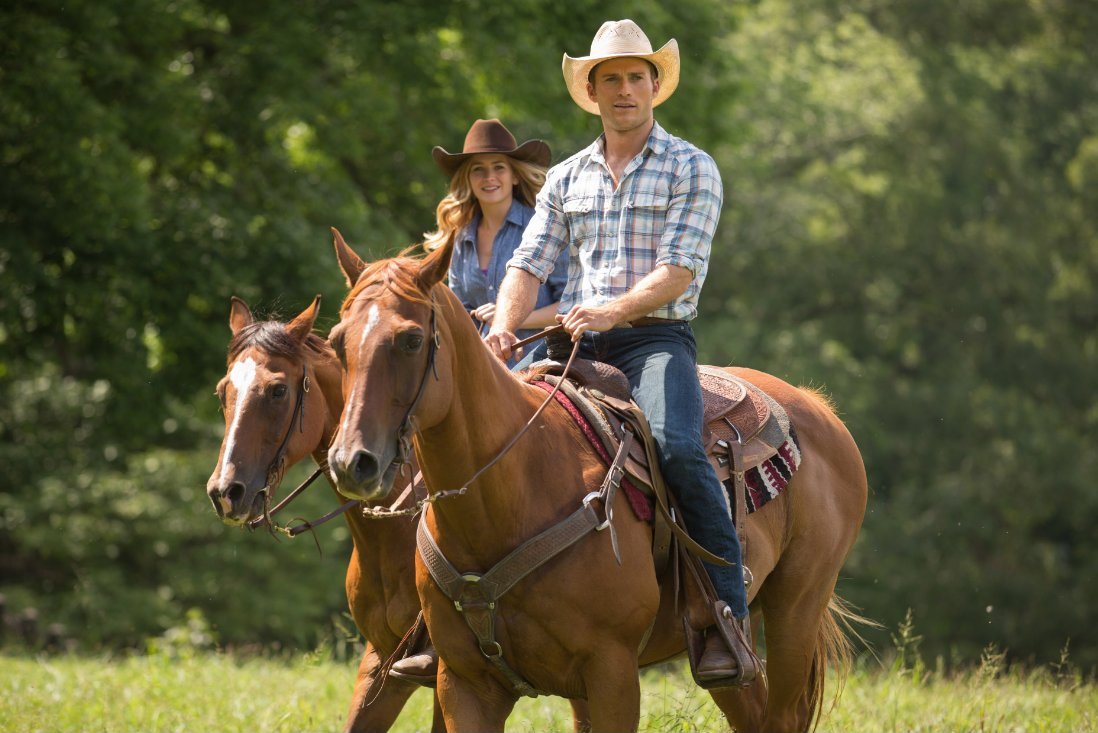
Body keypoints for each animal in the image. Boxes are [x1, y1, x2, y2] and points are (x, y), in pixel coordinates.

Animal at [322, 230, 865, 733]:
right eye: (337, 341)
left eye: (411, 339)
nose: (352, 461)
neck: (511, 494)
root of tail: (817, 406)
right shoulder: (464, 683)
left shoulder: (612, 673)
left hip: (797, 607)